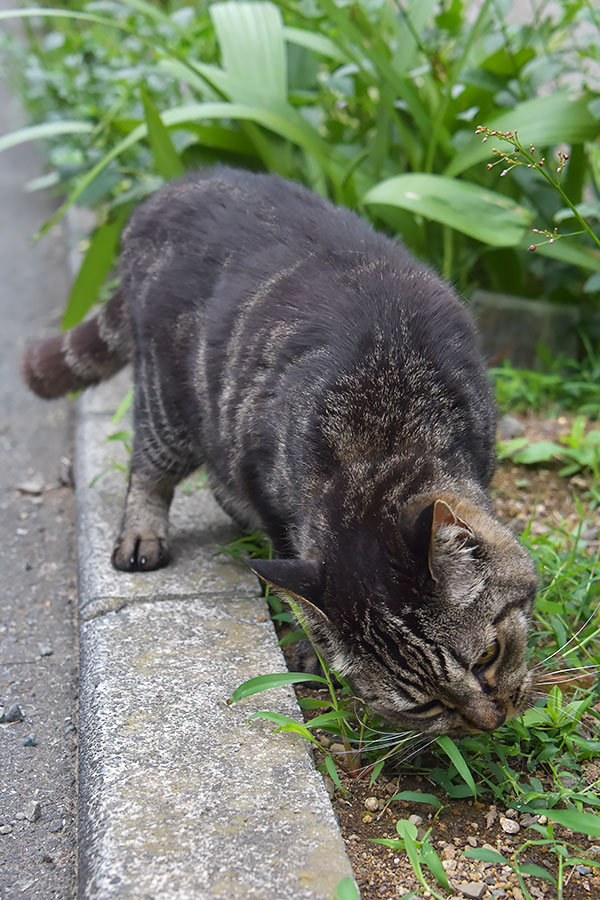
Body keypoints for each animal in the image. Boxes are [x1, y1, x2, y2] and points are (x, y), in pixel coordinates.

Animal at [24, 165, 540, 736]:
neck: (381, 432)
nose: (488, 723)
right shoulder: (265, 486)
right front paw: (313, 655)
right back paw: (142, 534)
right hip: (169, 404)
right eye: (425, 705)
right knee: (148, 469)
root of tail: (172, 187)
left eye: (488, 656)